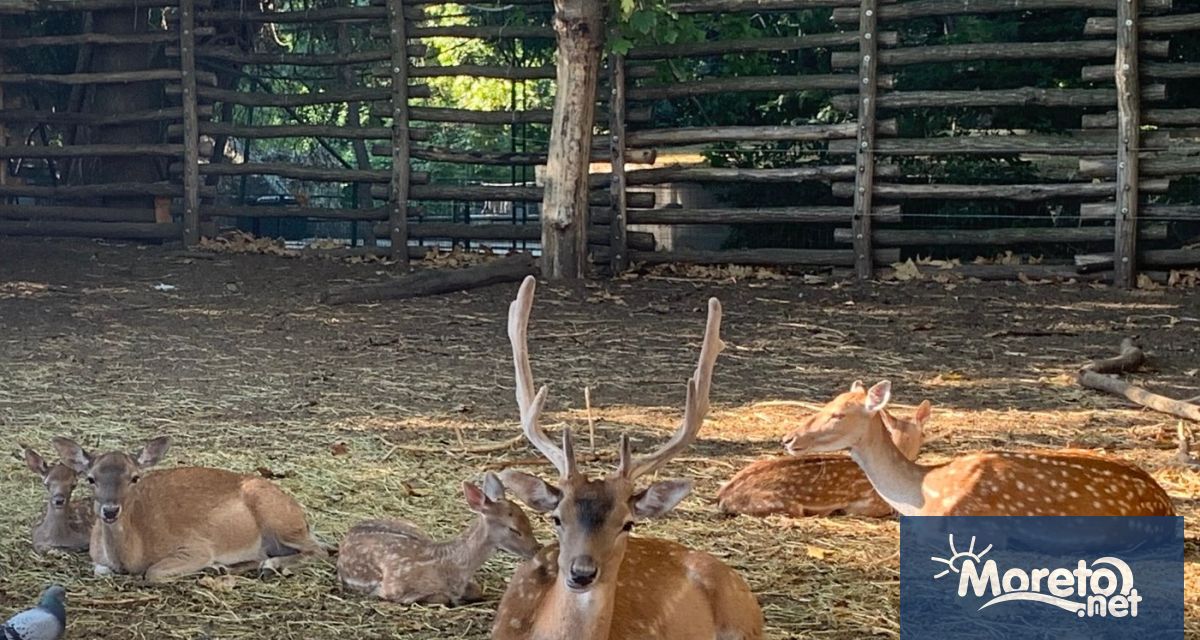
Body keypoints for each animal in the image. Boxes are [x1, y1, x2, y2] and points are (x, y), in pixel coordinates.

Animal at [52, 434, 328, 578]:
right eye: (91, 478)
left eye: (134, 477)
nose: (110, 510)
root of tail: (303, 518)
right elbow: (101, 570)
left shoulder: (196, 546)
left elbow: (152, 573)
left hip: (280, 520)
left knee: (321, 550)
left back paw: (266, 566)